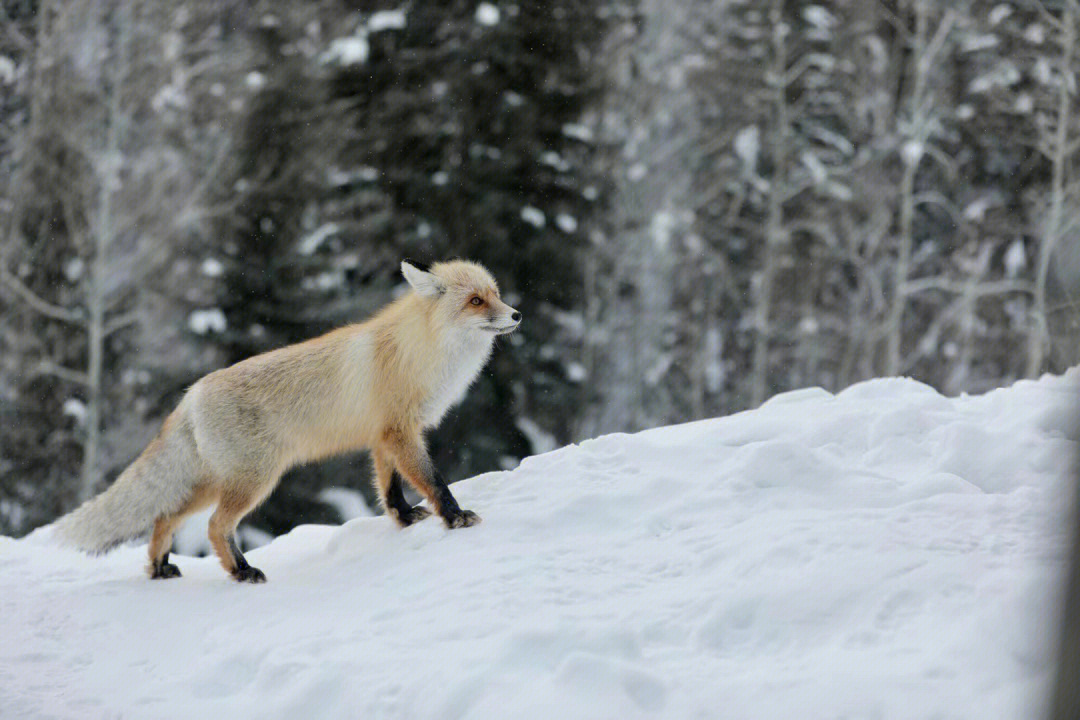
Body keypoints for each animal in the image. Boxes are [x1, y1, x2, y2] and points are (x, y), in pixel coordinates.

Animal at [53, 262, 518, 582]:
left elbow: (389, 490)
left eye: (495, 293)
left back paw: (159, 567)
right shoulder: (401, 433)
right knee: (214, 526)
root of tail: (192, 393)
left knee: (164, 517)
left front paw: (404, 520)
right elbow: (435, 482)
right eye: (475, 301)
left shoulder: (384, 436)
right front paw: (456, 519)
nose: (515, 314)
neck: (422, 354)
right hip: (254, 481)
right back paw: (241, 572)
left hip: (215, 482)